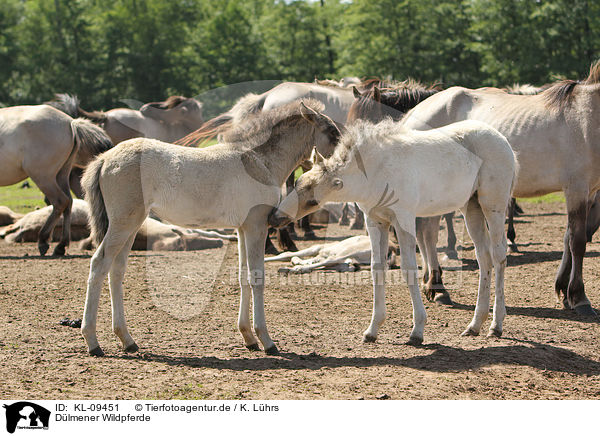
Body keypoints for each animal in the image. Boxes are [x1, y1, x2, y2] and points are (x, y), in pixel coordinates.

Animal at [0, 103, 112, 255]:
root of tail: (70, 123)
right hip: (61, 175)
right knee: (69, 202)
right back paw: (61, 245)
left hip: (43, 177)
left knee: (60, 201)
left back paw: (44, 240)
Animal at [79, 99, 340, 358]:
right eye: (332, 133)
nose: (339, 168)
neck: (258, 160)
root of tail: (104, 158)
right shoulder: (257, 226)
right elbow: (256, 277)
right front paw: (266, 340)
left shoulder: (243, 229)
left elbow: (243, 276)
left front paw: (248, 338)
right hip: (124, 223)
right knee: (99, 263)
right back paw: (93, 342)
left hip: (131, 225)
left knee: (116, 269)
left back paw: (127, 340)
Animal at [270, 119, 516, 344]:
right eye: (298, 183)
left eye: (312, 201)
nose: (275, 217)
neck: (376, 172)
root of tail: (503, 141)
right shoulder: (375, 221)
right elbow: (376, 268)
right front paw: (372, 329)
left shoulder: (404, 218)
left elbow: (409, 268)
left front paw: (417, 330)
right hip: (471, 207)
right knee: (483, 257)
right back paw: (475, 325)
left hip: (492, 206)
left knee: (498, 256)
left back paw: (496, 325)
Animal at [398, 60, 600, 316]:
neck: (589, 116)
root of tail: (414, 113)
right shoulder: (576, 189)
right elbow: (577, 241)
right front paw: (579, 297)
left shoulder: (588, 192)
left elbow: (568, 238)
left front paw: (563, 290)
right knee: (429, 232)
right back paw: (438, 285)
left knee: (426, 230)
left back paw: (433, 284)